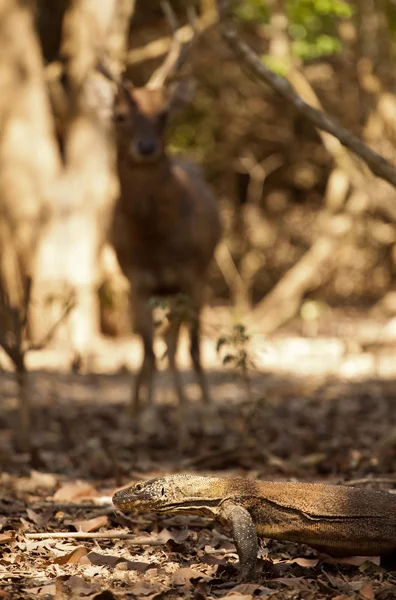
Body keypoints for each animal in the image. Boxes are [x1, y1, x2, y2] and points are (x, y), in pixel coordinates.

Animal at [100, 2, 223, 438]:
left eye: (165, 113)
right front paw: (148, 418)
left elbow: (189, 347)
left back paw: (189, 411)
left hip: (195, 280)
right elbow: (150, 349)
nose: (147, 147)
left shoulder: (192, 274)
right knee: (150, 346)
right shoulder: (137, 279)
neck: (156, 240)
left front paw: (203, 416)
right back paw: (134, 411)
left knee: (179, 343)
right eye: (119, 115)